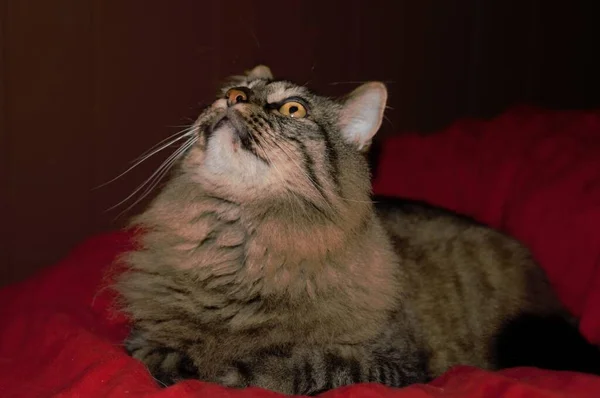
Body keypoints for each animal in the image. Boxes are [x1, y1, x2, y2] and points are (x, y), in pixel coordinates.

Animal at [116, 65, 600, 394]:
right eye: (233, 91)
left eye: (293, 109)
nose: (234, 101)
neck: (241, 242)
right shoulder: (142, 336)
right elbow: (150, 352)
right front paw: (177, 363)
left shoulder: (396, 364)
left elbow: (303, 363)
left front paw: (231, 372)